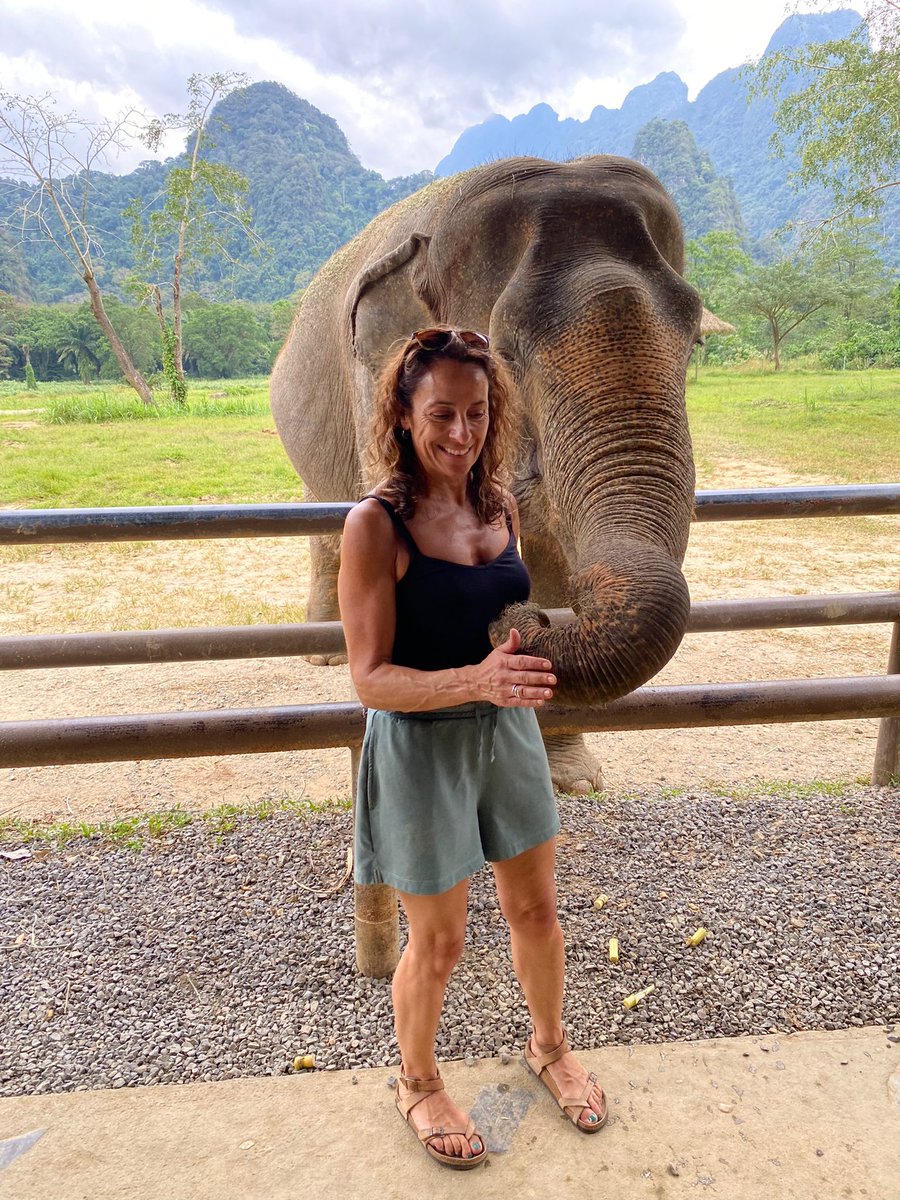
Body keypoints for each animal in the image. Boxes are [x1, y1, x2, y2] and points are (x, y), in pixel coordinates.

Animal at [270, 154, 704, 793]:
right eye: (506, 353)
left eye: (695, 341)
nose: (514, 619)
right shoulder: (371, 379)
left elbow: (546, 548)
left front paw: (571, 779)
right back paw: (325, 653)